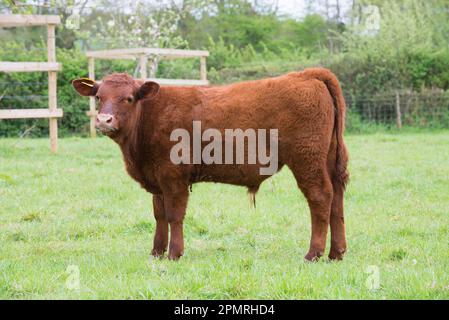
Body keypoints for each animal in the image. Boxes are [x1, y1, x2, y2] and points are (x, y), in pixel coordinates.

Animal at [72, 67, 348, 260]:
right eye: (99, 97)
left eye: (128, 98)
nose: (104, 120)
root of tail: (306, 74)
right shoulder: (157, 179)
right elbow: (159, 215)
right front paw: (156, 253)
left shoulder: (172, 176)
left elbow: (174, 215)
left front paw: (174, 253)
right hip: (329, 160)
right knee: (337, 200)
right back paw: (336, 253)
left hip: (307, 159)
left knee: (320, 197)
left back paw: (313, 254)